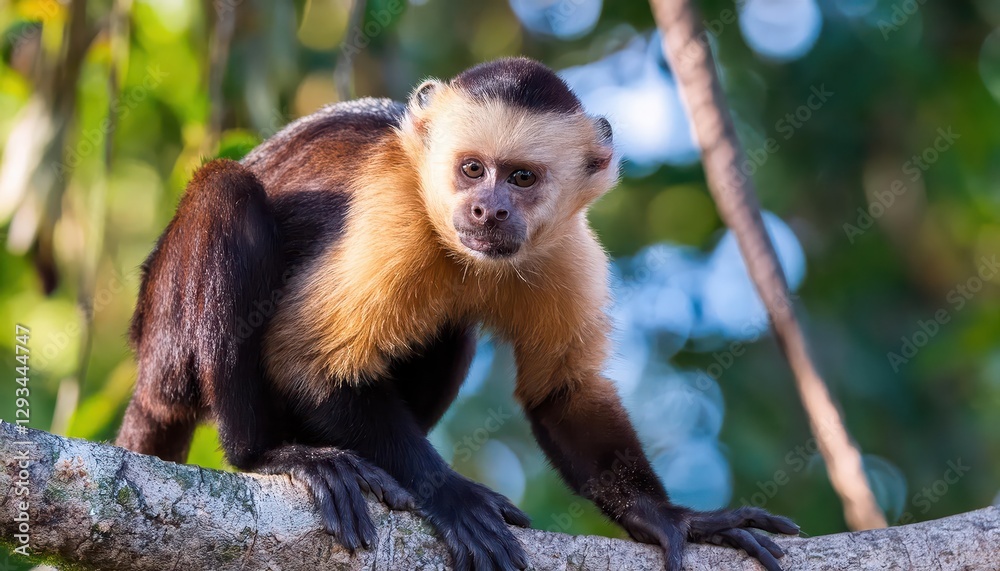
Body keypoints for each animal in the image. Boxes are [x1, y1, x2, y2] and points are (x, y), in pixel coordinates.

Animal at [116, 57, 799, 571]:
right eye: (472, 169)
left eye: (520, 178)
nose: (487, 210)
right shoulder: (391, 216)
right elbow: (307, 360)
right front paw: (447, 493)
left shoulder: (564, 246)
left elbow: (563, 392)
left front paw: (666, 516)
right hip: (166, 336)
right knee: (227, 193)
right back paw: (271, 455)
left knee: (453, 331)